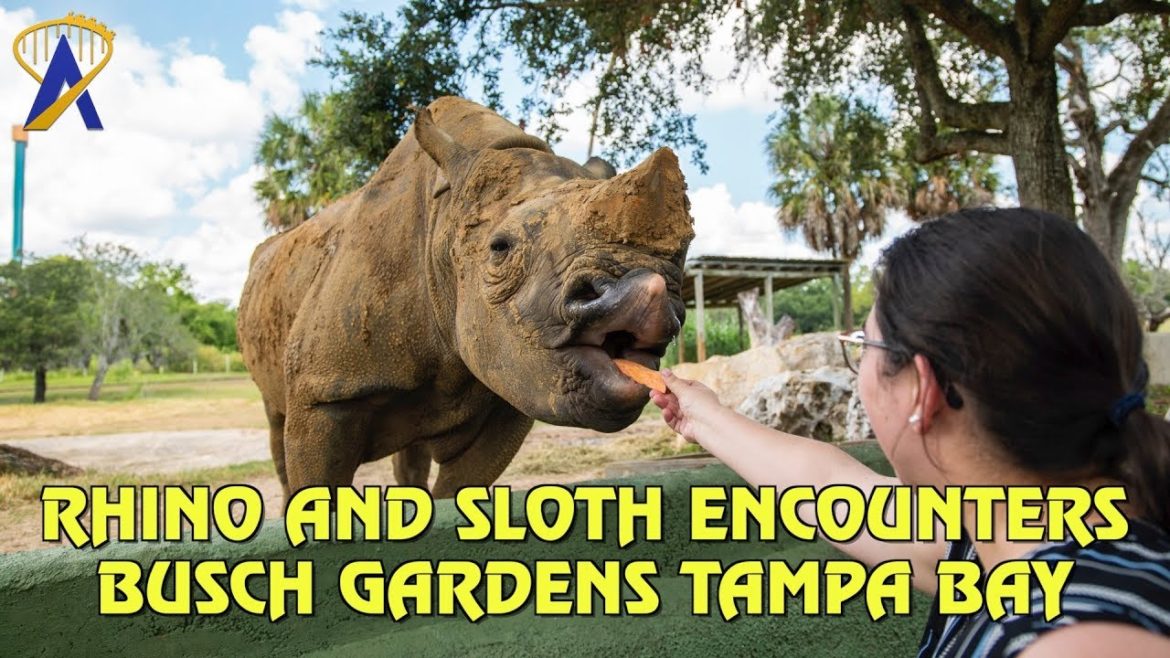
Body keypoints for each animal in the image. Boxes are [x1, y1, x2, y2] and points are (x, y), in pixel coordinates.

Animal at [237, 97, 694, 499]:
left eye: (680, 255)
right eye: (500, 248)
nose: (642, 292)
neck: (445, 225)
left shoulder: (509, 392)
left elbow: (457, 490)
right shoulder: (324, 393)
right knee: (276, 426)